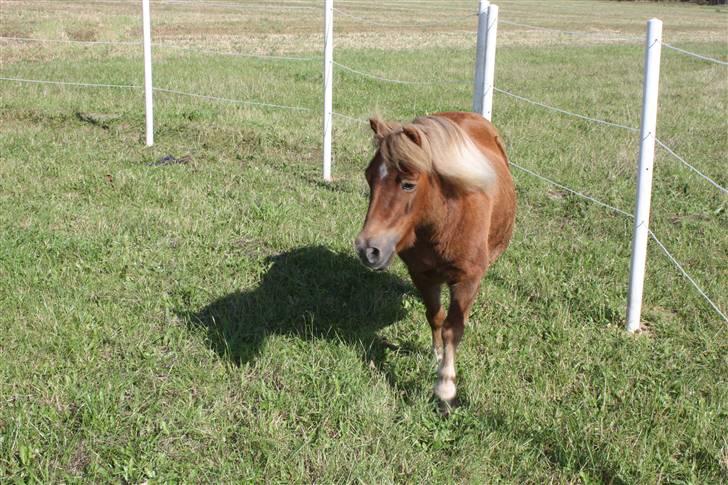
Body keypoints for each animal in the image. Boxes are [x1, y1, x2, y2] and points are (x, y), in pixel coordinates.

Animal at [354, 110, 516, 404]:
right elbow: (436, 317)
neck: (445, 220)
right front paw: (437, 356)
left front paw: (445, 385)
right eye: (369, 176)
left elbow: (454, 327)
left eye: (408, 184)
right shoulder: (422, 275)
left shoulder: (467, 280)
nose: (368, 250)